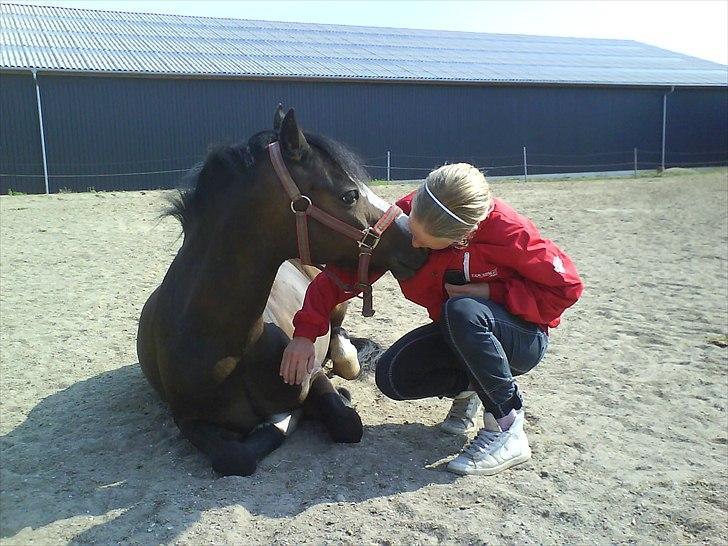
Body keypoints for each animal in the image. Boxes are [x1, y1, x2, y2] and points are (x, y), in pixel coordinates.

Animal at [136, 106, 427, 476]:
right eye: (349, 194)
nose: (416, 238)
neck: (229, 346)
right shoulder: (188, 420)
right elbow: (236, 456)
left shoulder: (313, 377)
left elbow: (346, 422)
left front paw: (331, 401)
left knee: (340, 338)